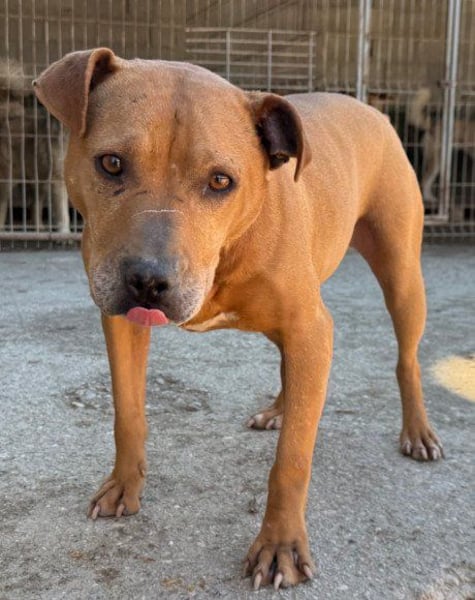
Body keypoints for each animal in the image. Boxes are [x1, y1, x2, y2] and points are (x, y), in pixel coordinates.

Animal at [0, 58, 70, 233]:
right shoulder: (58, 179)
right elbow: (63, 214)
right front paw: (65, 233)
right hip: (9, 175)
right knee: (3, 203)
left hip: (39, 177)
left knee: (34, 204)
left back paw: (39, 227)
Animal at [34, 48, 443, 590]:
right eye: (112, 163)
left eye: (220, 181)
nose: (148, 281)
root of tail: (369, 107)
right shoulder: (121, 320)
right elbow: (128, 412)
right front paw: (124, 484)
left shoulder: (310, 328)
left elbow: (292, 459)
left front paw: (280, 545)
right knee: (291, 368)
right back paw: (280, 408)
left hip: (401, 277)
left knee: (406, 359)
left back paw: (417, 431)